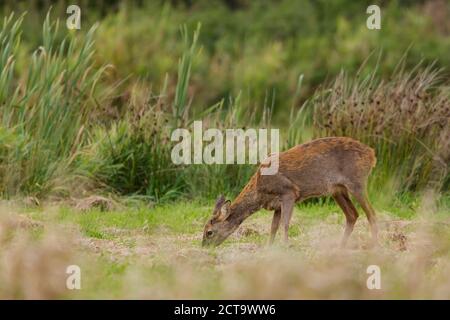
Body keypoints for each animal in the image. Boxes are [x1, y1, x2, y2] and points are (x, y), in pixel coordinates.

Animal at [202, 136, 378, 248]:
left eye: (209, 232)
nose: (204, 247)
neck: (259, 190)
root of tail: (372, 154)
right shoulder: (276, 205)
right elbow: (273, 227)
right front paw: (269, 248)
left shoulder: (289, 192)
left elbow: (285, 224)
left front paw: (286, 246)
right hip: (337, 190)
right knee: (353, 214)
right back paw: (340, 246)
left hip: (357, 182)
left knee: (371, 213)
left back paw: (374, 245)